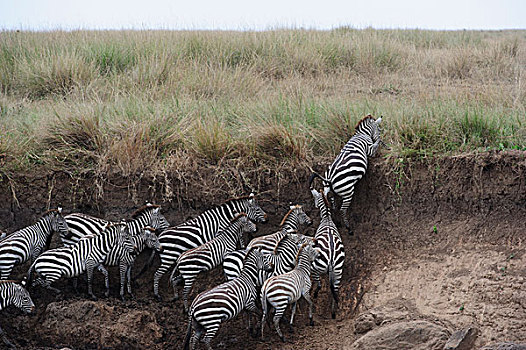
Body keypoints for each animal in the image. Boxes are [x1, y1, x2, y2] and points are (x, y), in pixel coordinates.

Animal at [310, 187, 346, 318]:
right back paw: (333, 313)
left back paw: (315, 294)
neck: (327, 218)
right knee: (335, 290)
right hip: (338, 270)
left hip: (316, 267)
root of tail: (331, 257)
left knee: (319, 284)